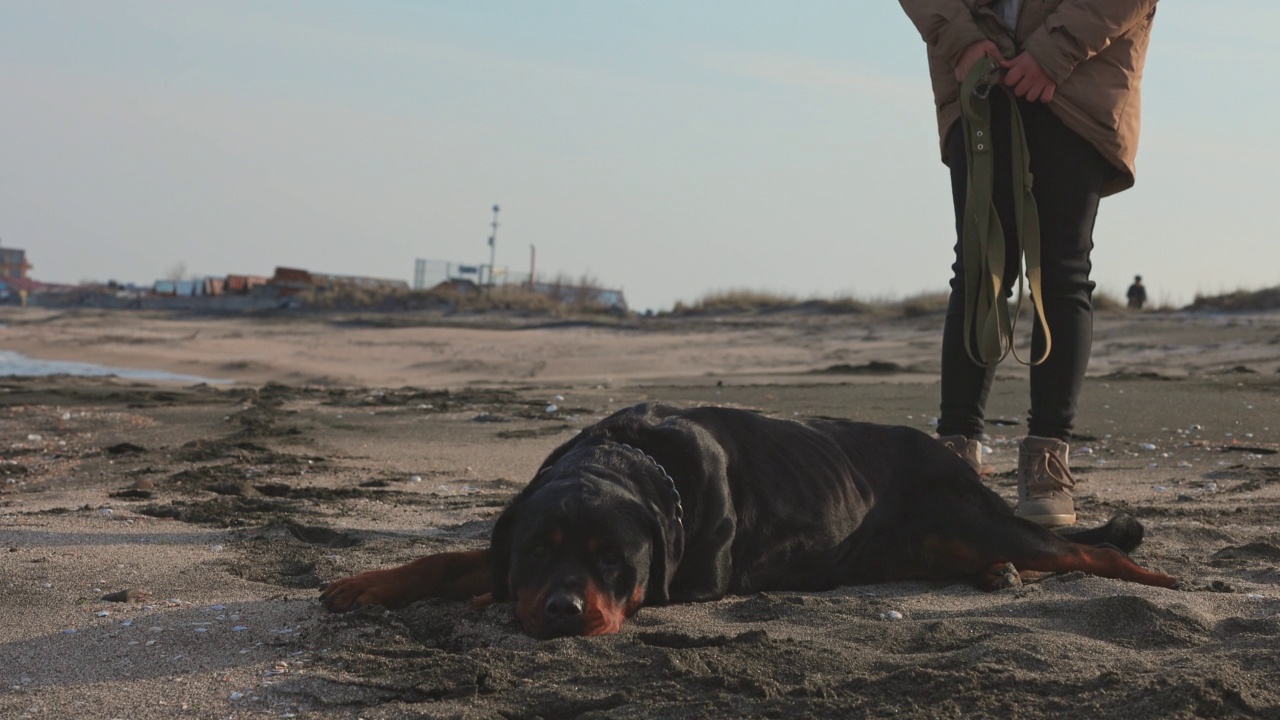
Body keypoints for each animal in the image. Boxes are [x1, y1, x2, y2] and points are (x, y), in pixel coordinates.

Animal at [322, 399, 1177, 635]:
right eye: (539, 550)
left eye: (614, 562)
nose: (563, 608)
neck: (636, 459)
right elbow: (456, 556)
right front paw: (369, 584)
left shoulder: (695, 583)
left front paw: (477, 597)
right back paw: (996, 577)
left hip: (966, 518)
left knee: (1079, 551)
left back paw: (1151, 576)